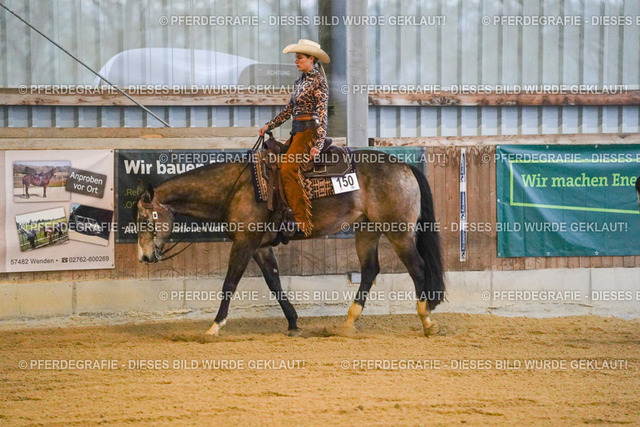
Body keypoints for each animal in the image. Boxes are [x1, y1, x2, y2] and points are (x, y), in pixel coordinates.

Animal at [135, 150, 445, 337]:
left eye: (144, 218)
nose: (144, 257)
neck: (237, 188)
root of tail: (405, 166)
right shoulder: (260, 247)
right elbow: (275, 283)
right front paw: (294, 322)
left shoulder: (245, 242)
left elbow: (230, 283)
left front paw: (214, 326)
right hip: (367, 230)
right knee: (369, 271)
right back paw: (347, 323)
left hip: (398, 232)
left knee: (418, 268)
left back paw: (427, 320)